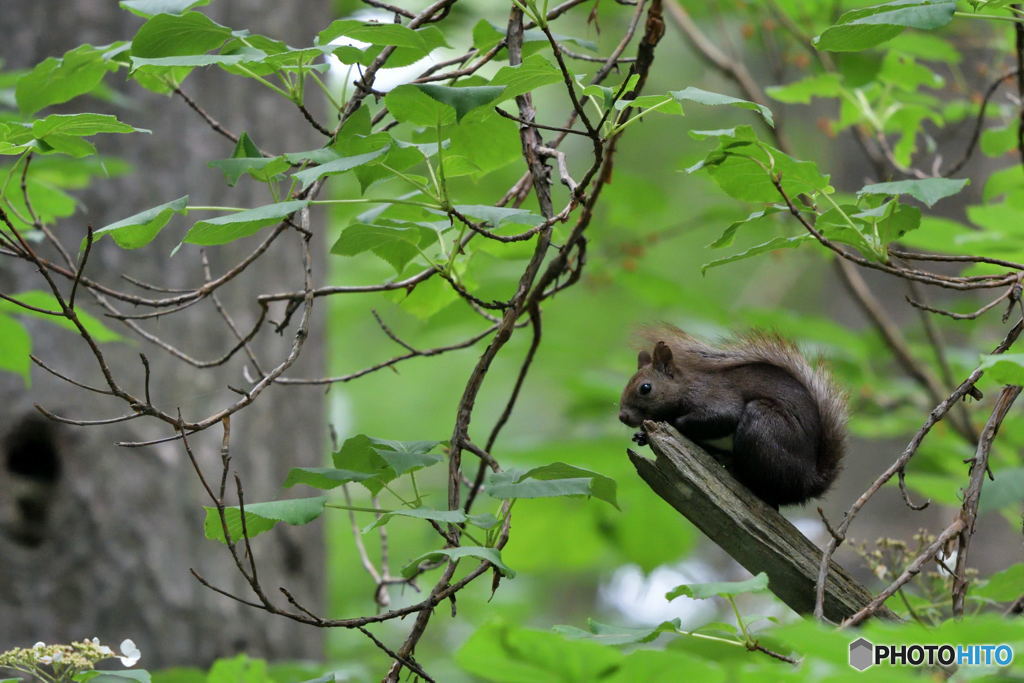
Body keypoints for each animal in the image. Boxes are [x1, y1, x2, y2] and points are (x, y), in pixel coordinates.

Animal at [622, 325, 847, 507]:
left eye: (645, 388)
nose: (622, 416)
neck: (686, 387)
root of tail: (810, 481)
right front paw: (641, 436)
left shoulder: (716, 398)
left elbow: (724, 416)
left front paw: (664, 423)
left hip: (764, 424)